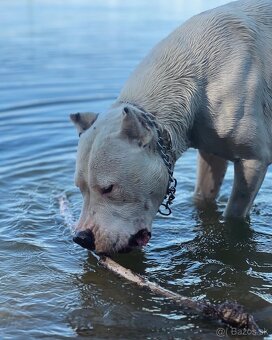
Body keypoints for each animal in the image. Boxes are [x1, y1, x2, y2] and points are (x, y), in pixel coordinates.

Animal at [70, 0, 272, 254]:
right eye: (80, 188)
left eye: (109, 188)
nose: (81, 238)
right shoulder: (210, 154)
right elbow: (202, 196)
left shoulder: (252, 161)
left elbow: (233, 213)